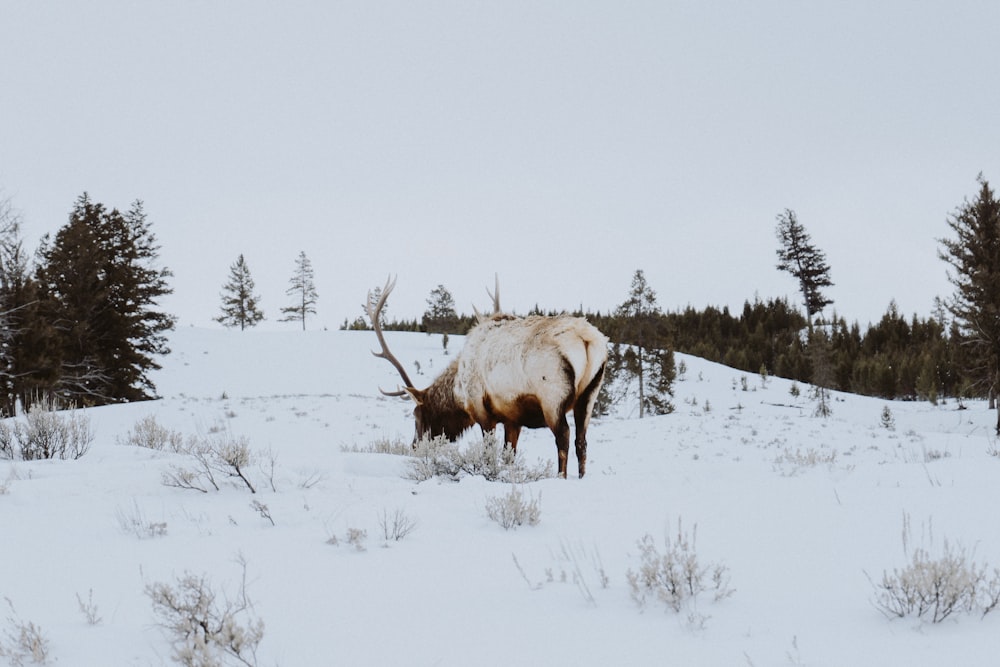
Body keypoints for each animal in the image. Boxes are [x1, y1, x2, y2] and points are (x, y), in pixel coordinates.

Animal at [364, 276, 604, 480]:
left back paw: (560, 477)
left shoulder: (482, 411)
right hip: (589, 394)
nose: (414, 447)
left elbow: (489, 452)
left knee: (563, 436)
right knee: (581, 441)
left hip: (552, 397)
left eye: (416, 415)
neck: (458, 392)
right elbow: (509, 455)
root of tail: (586, 338)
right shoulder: (512, 418)